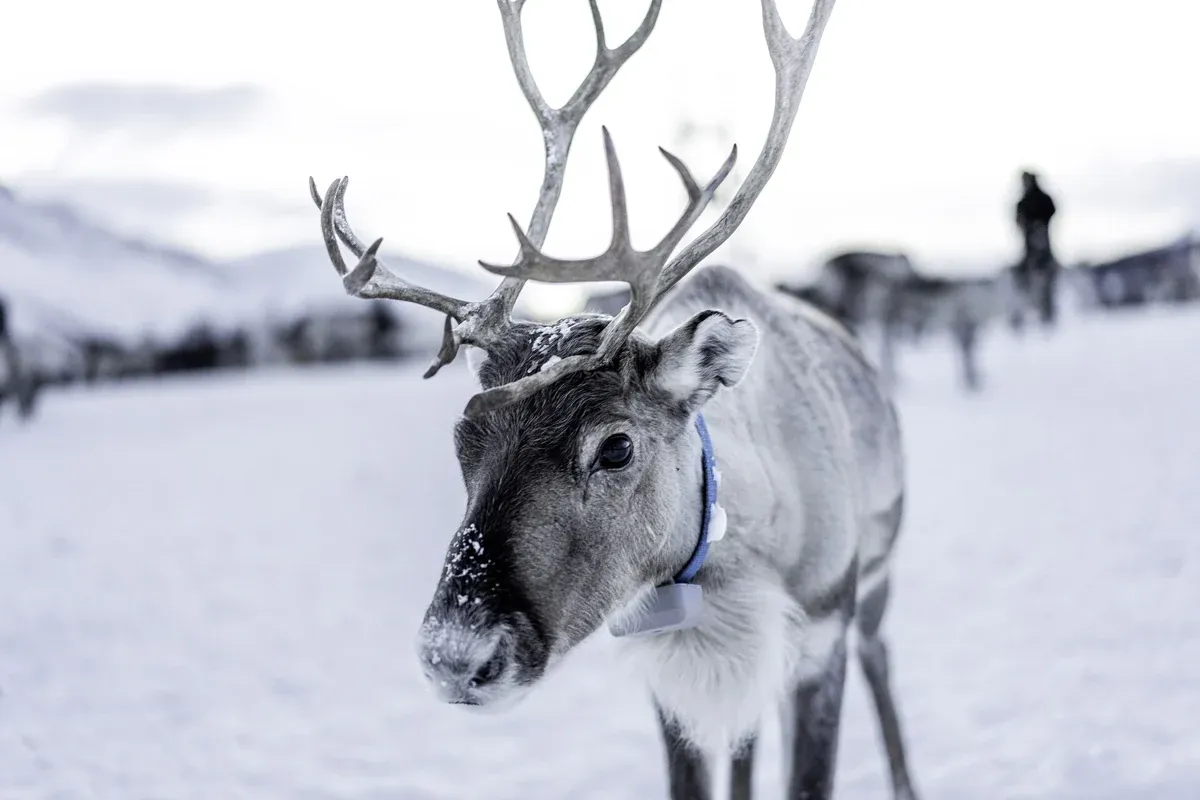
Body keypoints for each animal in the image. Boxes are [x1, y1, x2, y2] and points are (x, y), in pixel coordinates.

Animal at [309, 1, 920, 798]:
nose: (452, 660)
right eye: (463, 439)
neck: (734, 562)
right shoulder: (675, 673)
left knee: (883, 661)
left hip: (876, 588)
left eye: (618, 446)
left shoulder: (821, 639)